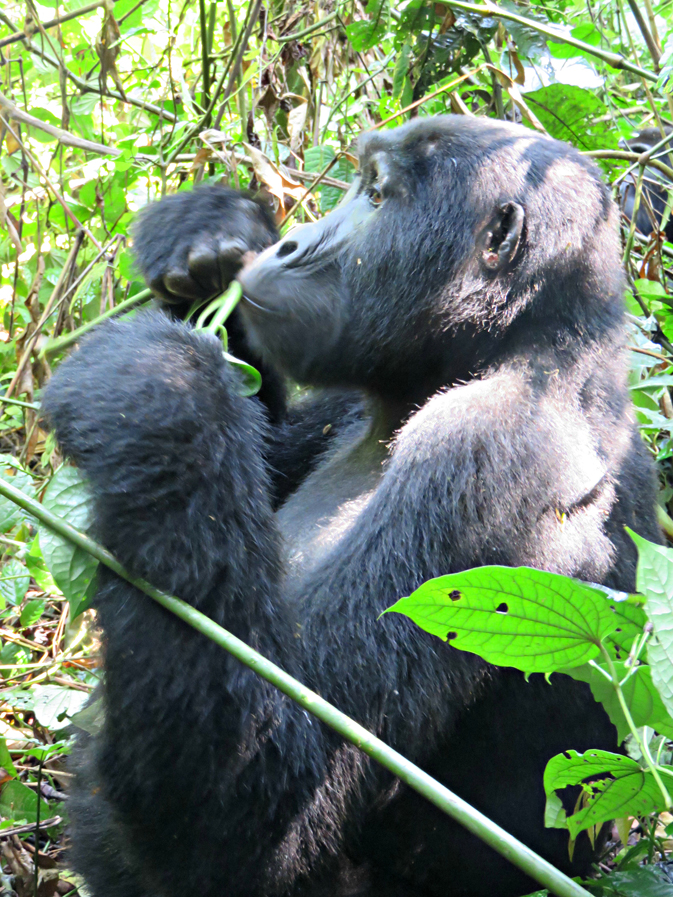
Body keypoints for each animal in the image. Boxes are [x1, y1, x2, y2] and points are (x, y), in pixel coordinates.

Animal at [43, 117, 660, 896]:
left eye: (374, 194)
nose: (288, 243)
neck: (534, 346)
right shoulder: (345, 400)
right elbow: (258, 445)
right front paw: (203, 240)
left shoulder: (495, 449)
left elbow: (250, 821)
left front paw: (154, 388)